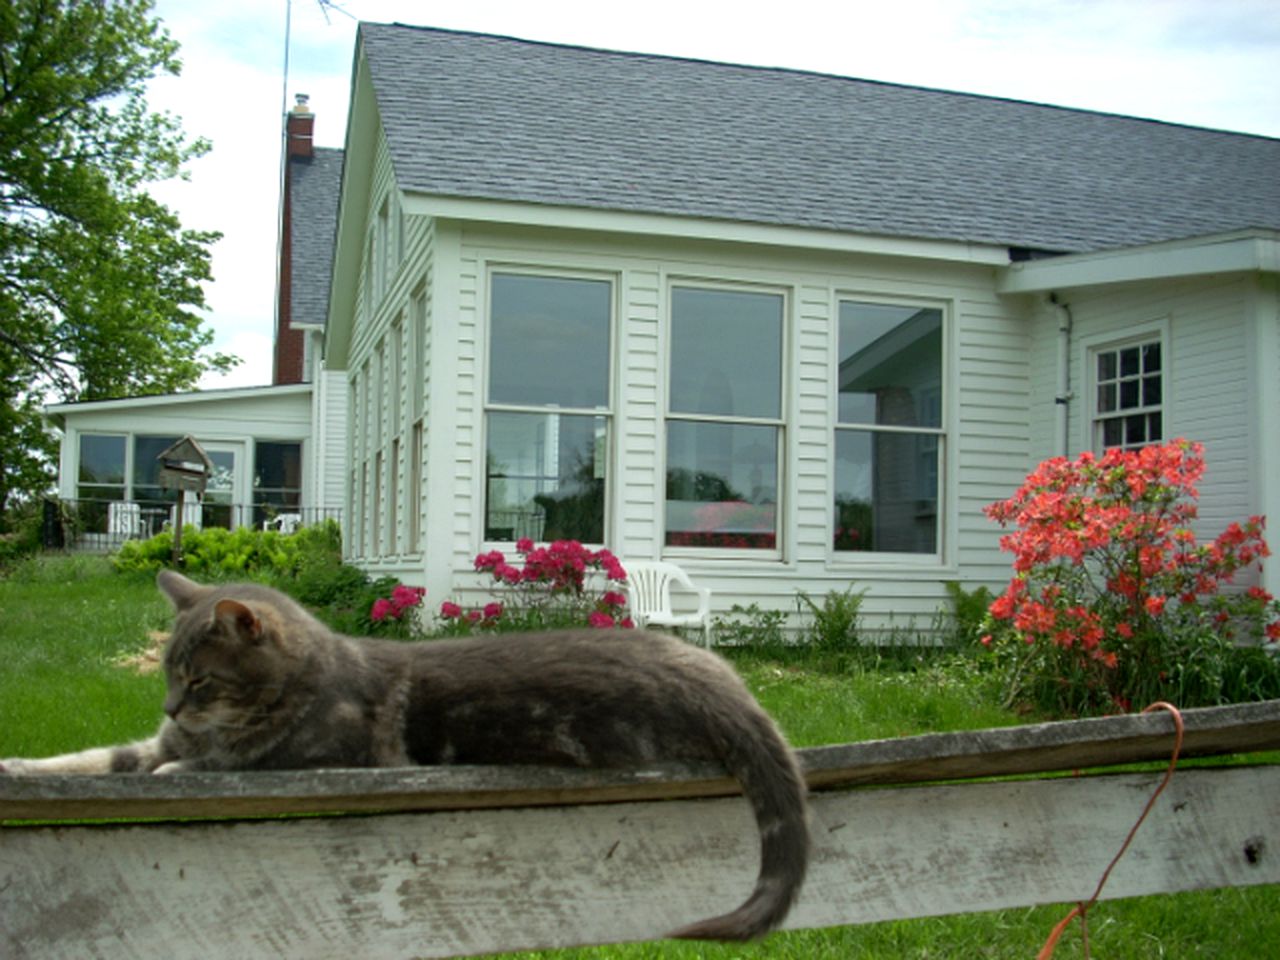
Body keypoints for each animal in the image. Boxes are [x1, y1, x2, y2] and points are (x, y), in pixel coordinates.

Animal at [0, 570, 808, 942]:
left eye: (199, 680)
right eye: (167, 674)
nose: (172, 708)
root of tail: (718, 680)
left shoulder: (311, 757)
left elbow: (222, 765)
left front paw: (186, 768)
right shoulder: (142, 745)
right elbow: (83, 759)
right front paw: (18, 767)